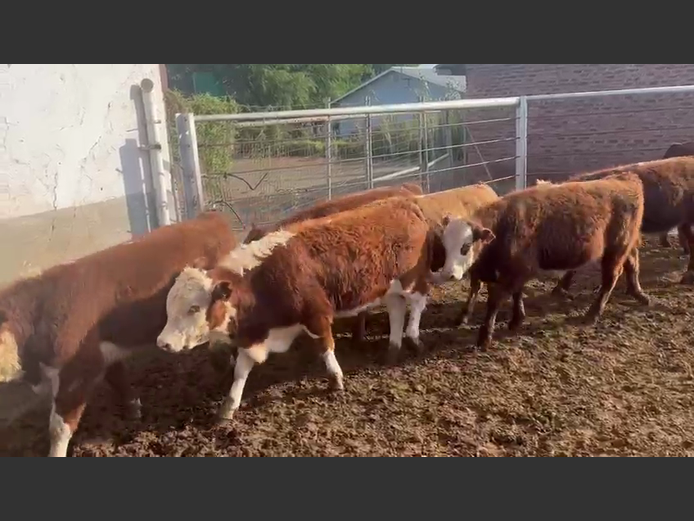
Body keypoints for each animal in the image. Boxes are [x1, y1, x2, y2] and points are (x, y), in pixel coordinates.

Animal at [0, 209, 237, 452]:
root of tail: (210, 216)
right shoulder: (101, 353)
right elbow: (117, 376)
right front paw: (134, 408)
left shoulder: (77, 370)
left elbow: (59, 427)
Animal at [159, 197, 436, 420]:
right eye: (169, 308)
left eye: (194, 308)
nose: (163, 343)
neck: (263, 281)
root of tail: (404, 203)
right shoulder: (254, 335)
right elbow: (240, 372)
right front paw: (229, 407)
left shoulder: (317, 315)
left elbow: (326, 347)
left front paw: (336, 380)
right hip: (391, 289)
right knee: (397, 311)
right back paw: (393, 349)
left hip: (412, 280)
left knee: (418, 303)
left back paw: (413, 338)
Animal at [436, 172, 652, 350]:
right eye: (444, 245)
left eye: (466, 246)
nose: (448, 274)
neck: (504, 225)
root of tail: (624, 178)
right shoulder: (513, 270)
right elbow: (516, 293)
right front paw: (517, 319)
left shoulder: (519, 270)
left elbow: (495, 300)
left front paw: (485, 337)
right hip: (626, 245)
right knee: (632, 263)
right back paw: (639, 295)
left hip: (616, 249)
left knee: (610, 278)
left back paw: (593, 313)